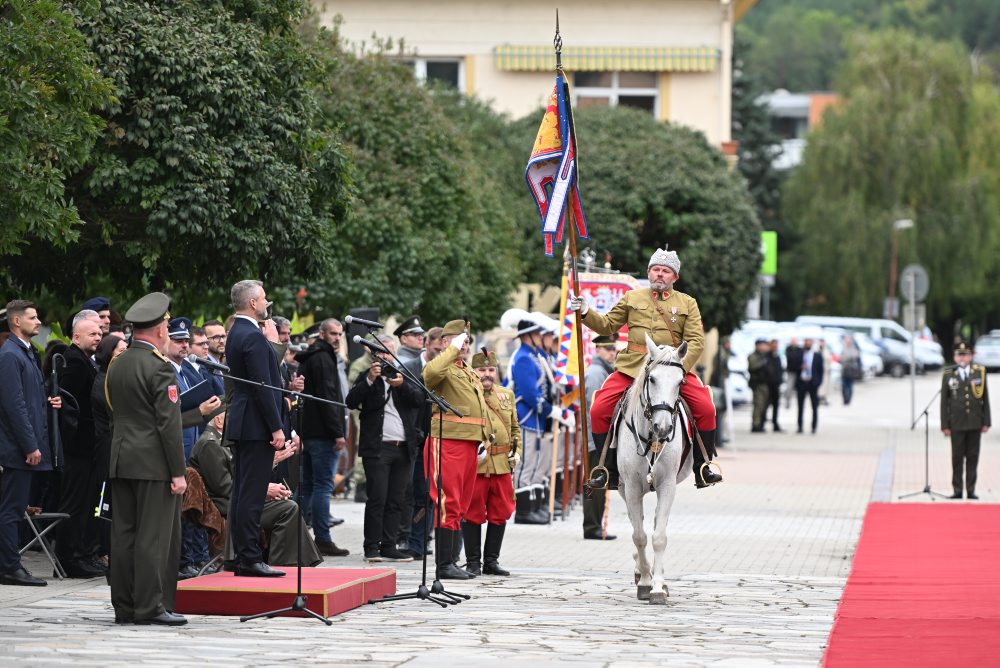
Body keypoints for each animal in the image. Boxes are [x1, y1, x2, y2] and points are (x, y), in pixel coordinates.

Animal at [612, 336, 692, 604]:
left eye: (680, 382)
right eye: (653, 379)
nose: (664, 427)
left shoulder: (667, 485)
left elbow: (659, 536)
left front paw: (657, 587)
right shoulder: (632, 487)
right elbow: (639, 535)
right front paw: (646, 582)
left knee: (657, 522)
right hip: (623, 488)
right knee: (636, 523)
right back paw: (640, 570)